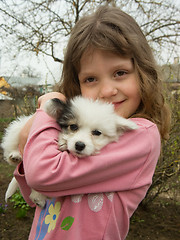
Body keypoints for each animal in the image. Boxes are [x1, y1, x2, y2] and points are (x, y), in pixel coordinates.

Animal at [1, 95, 138, 208]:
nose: (79, 145)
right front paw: (63, 141)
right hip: (18, 128)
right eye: (73, 126)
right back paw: (15, 156)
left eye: (97, 132)